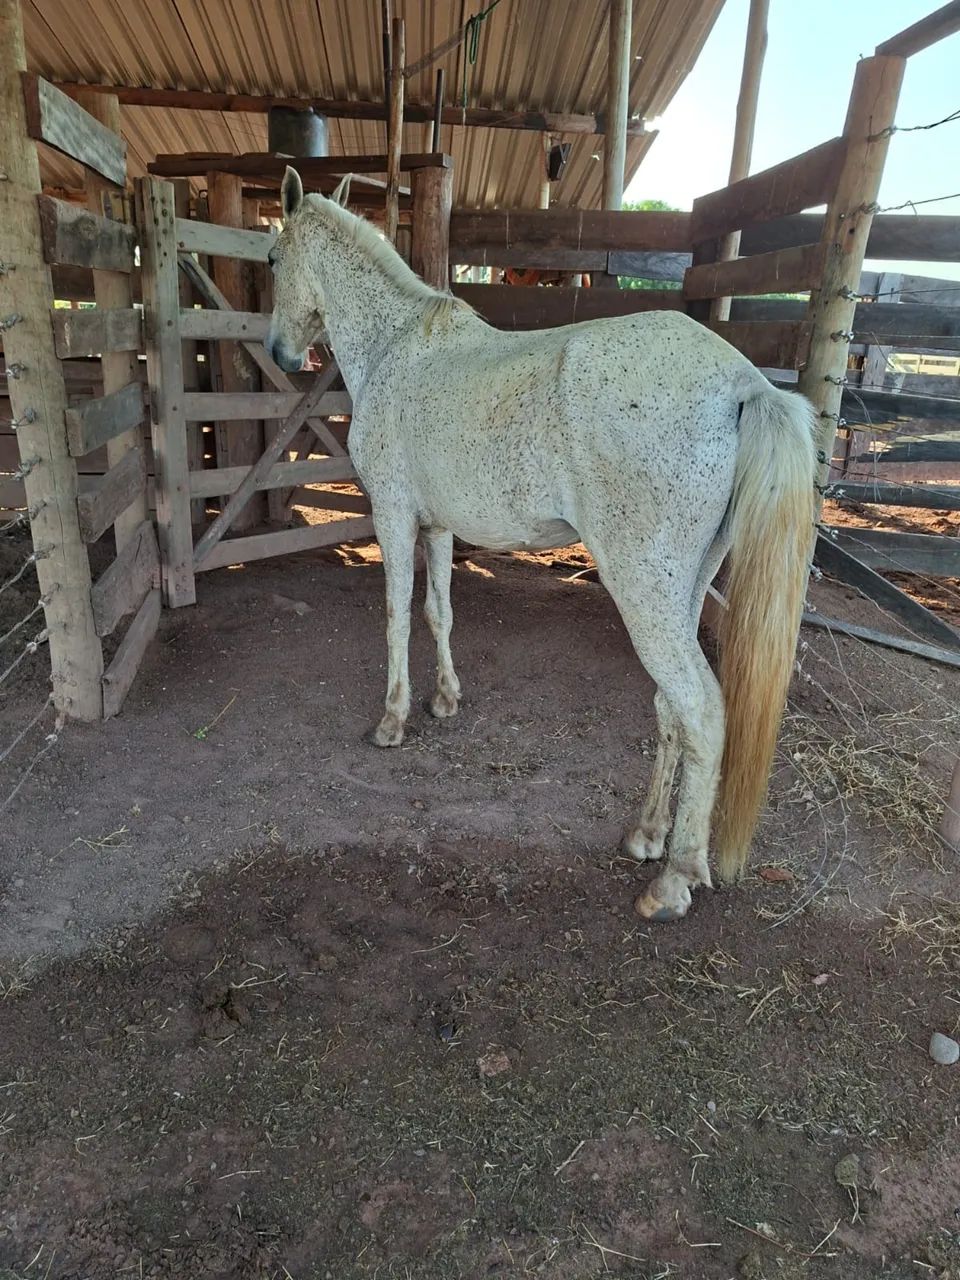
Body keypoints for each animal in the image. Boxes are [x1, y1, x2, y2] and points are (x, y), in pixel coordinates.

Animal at [266, 166, 816, 923]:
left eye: (270, 259)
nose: (279, 353)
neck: (394, 347)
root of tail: (745, 383)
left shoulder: (395, 516)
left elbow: (396, 618)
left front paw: (393, 720)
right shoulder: (438, 527)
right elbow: (439, 612)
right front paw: (445, 699)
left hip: (643, 589)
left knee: (701, 710)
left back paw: (673, 878)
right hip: (681, 589)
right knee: (671, 706)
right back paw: (646, 835)